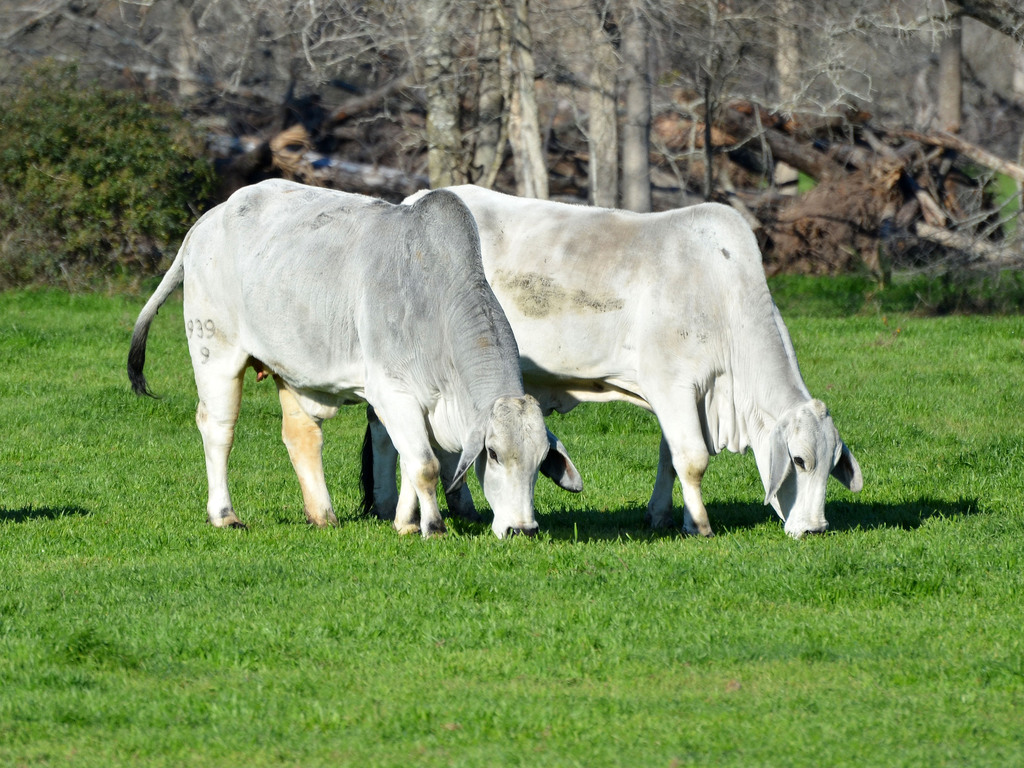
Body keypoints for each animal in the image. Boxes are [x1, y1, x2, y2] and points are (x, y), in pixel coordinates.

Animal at [127, 179, 581, 539]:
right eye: (494, 454)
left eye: (540, 460)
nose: (523, 529)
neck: (435, 303)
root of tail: (208, 219)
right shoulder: (393, 392)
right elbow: (425, 465)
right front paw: (432, 527)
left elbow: (410, 460)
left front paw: (405, 523)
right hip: (215, 352)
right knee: (218, 429)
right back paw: (224, 515)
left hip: (293, 369)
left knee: (301, 436)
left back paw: (322, 515)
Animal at [366, 185, 862, 539]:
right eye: (799, 460)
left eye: (833, 462)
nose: (816, 529)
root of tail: (410, 203)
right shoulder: (673, 386)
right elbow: (692, 459)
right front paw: (700, 526)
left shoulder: (681, 398)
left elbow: (670, 456)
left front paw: (664, 516)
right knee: (393, 436)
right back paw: (395, 507)